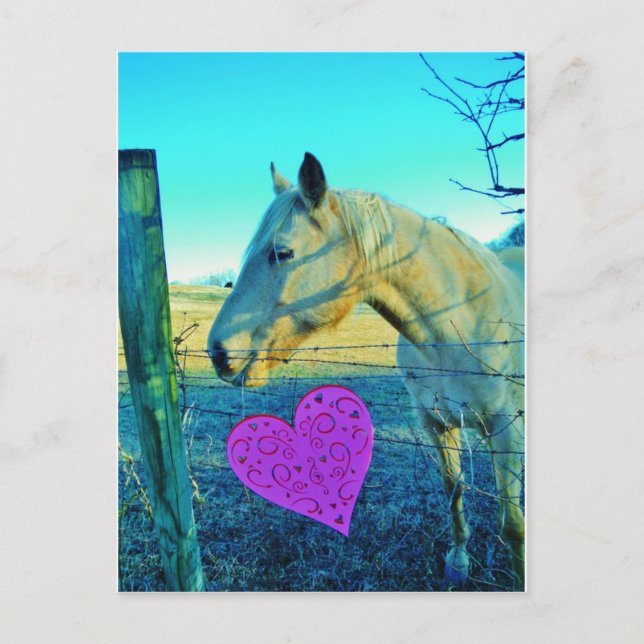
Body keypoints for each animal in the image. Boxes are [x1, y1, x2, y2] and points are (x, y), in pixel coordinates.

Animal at [208, 153, 525, 587]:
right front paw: (459, 562)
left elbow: (512, 525)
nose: (218, 352)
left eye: (283, 253)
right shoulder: (436, 424)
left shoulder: (506, 429)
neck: (459, 324)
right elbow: (454, 492)